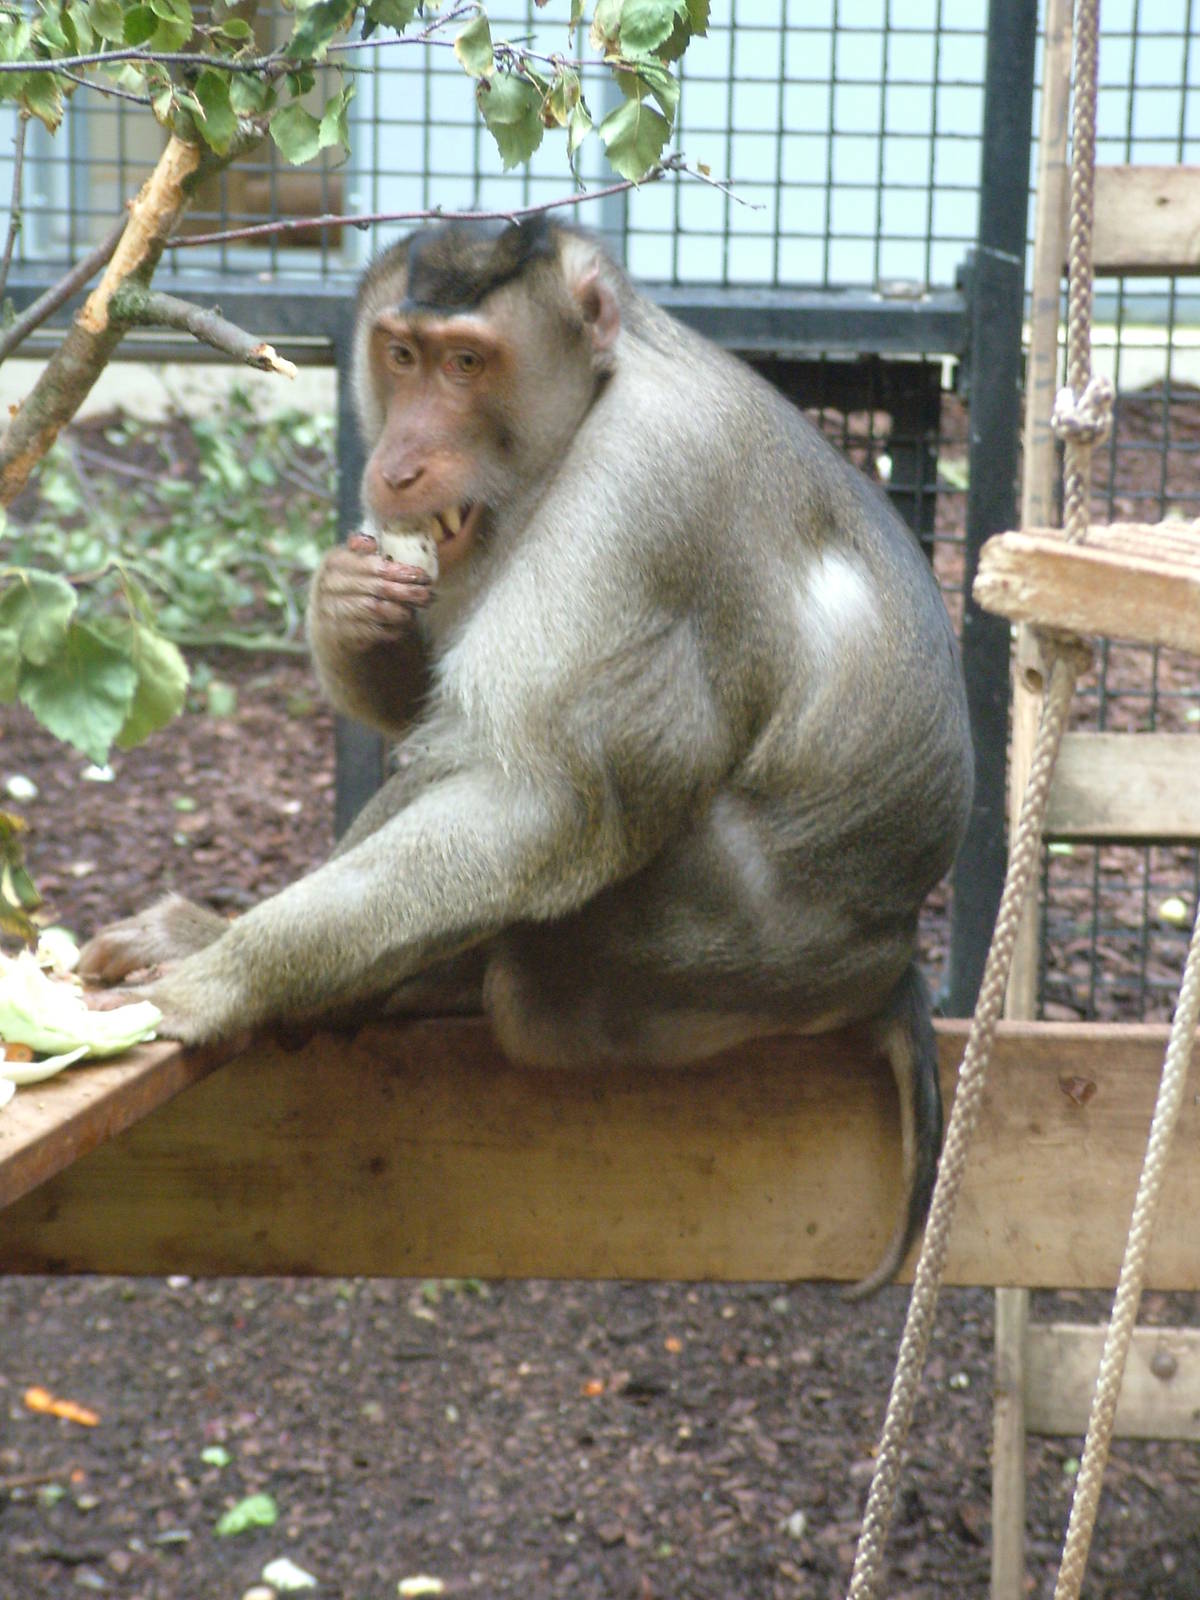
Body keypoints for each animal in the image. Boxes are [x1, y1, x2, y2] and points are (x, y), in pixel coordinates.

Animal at [79, 216, 974, 1295]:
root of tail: (888, 956)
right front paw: (346, 604)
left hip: (732, 952)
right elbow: (426, 707)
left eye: (468, 364)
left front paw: (222, 978)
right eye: (403, 355)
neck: (585, 413)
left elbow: (544, 802)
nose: (398, 463)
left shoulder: (638, 497)